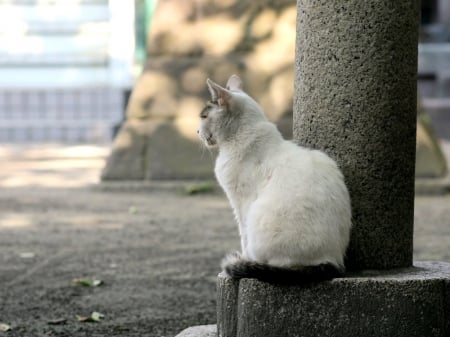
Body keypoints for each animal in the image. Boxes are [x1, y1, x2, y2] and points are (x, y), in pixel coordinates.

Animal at [198, 74, 352, 284]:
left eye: (204, 117)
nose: (197, 132)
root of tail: (331, 261)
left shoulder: (241, 203)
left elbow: (243, 235)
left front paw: (244, 257)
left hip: (258, 216)